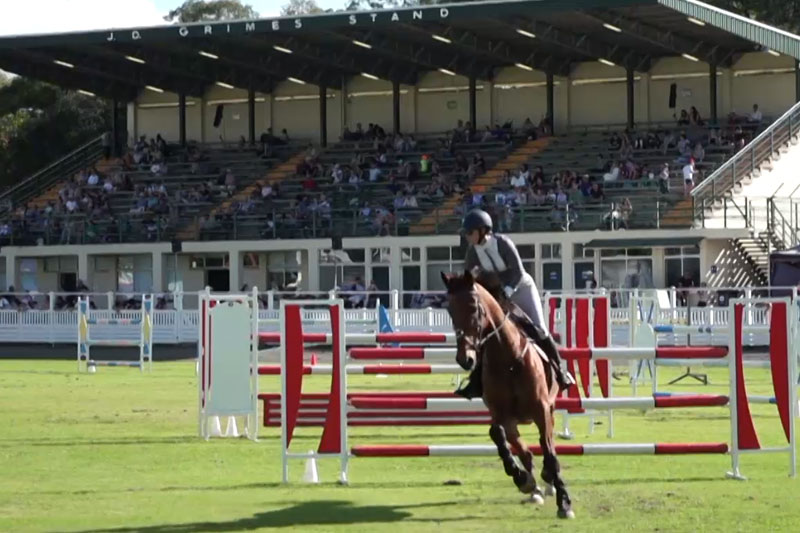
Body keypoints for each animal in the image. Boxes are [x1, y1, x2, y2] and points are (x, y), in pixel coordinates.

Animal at [438, 270, 576, 520]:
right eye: (450, 310)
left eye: (473, 307)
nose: (465, 359)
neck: (508, 360)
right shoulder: (502, 415)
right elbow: (499, 436)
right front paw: (522, 479)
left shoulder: (541, 410)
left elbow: (549, 450)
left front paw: (565, 503)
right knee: (524, 451)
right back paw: (535, 487)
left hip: (549, 408)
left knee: (548, 445)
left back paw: (549, 482)